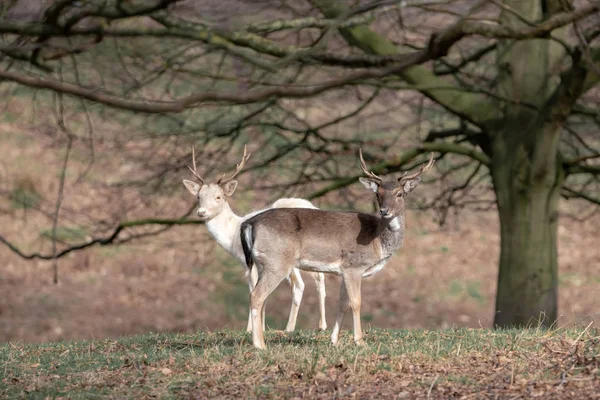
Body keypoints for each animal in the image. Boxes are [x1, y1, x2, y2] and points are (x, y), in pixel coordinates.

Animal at [182, 146, 326, 332]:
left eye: (218, 196)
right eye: (199, 196)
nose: (201, 212)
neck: (233, 236)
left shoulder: (248, 261)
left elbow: (252, 289)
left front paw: (250, 329)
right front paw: (261, 327)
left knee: (299, 285)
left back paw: (289, 328)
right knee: (318, 278)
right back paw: (321, 325)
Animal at [241, 148, 434, 348]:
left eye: (400, 193)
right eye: (378, 194)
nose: (384, 210)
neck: (377, 241)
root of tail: (249, 223)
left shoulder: (344, 270)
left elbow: (343, 304)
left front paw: (334, 340)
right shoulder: (354, 265)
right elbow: (356, 302)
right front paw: (360, 341)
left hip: (263, 263)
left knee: (258, 296)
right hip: (277, 262)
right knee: (257, 296)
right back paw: (260, 345)